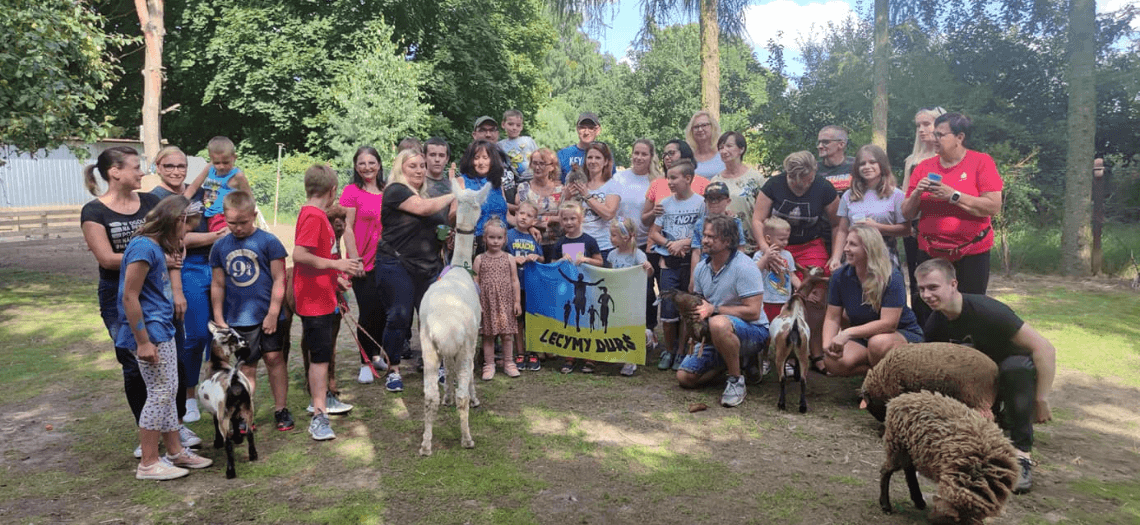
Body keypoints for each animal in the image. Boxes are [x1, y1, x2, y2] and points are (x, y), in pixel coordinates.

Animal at [880, 391, 1016, 521]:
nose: (930, 518)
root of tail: (897, 400)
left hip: (911, 451)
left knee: (909, 471)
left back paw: (919, 501)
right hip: (896, 445)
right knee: (886, 470)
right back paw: (886, 505)